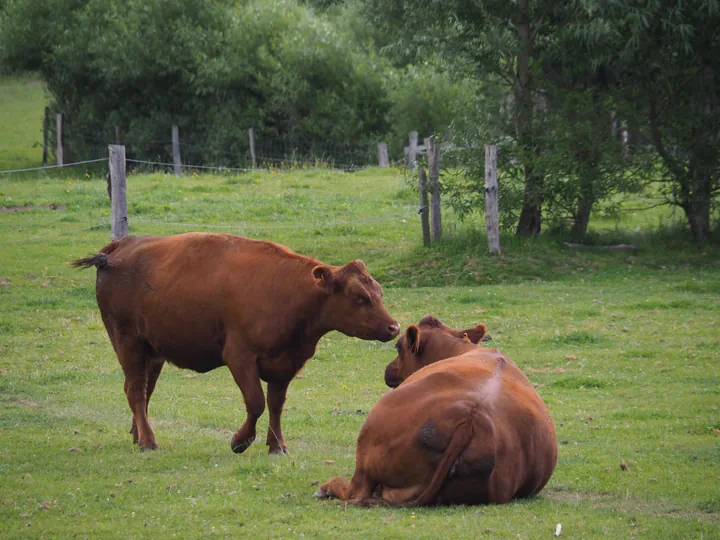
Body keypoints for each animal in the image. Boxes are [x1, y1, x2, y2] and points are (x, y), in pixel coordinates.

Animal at [73, 232, 400, 452]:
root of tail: (119, 247)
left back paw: (137, 434)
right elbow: (256, 402)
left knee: (142, 389)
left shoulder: (286, 363)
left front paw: (277, 446)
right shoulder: (240, 356)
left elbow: (276, 404)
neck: (290, 292)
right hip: (127, 342)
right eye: (359, 297)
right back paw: (149, 441)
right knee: (135, 391)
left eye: (379, 291)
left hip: (153, 352)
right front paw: (240, 441)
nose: (394, 326)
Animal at [318, 316, 560, 506]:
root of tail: (471, 418)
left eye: (399, 348)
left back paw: (326, 487)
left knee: (356, 490)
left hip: (367, 449)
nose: (388, 369)